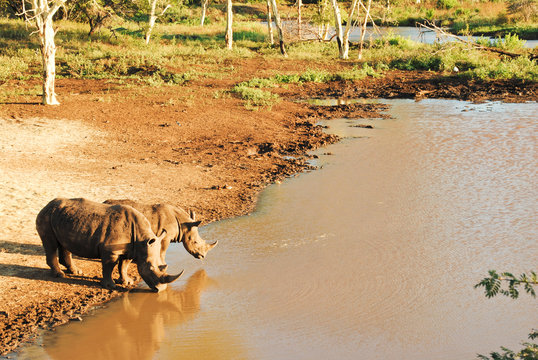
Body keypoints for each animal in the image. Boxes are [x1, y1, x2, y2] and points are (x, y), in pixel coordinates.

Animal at [35, 198, 183, 292]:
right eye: (151, 268)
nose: (161, 290)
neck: (142, 240)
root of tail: (46, 205)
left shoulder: (132, 249)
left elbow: (123, 266)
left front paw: (127, 282)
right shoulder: (111, 251)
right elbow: (109, 267)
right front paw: (110, 286)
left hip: (60, 217)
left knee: (64, 244)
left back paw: (76, 272)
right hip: (46, 217)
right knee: (51, 245)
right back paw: (60, 275)